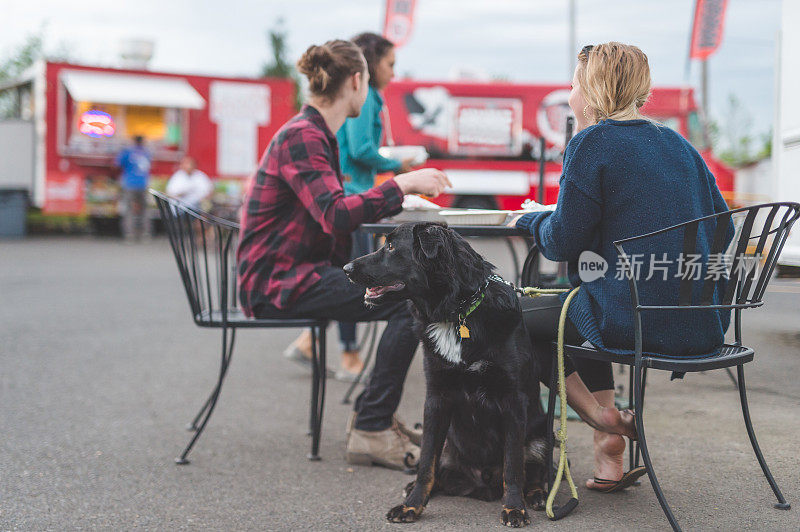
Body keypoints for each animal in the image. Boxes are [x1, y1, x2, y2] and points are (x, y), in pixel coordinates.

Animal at [344, 221, 552, 528]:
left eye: (391, 247)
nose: (345, 268)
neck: (456, 314)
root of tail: (481, 483)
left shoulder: (513, 401)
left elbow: (513, 465)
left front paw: (514, 507)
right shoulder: (436, 399)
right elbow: (426, 465)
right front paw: (412, 505)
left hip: (543, 435)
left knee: (533, 472)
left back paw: (536, 495)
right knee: (436, 469)